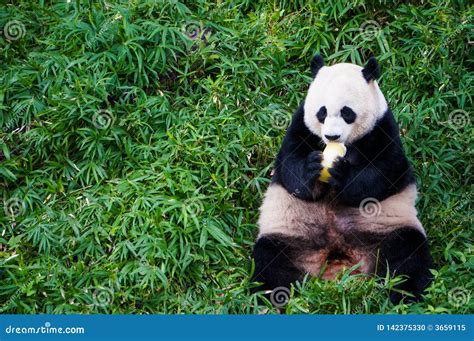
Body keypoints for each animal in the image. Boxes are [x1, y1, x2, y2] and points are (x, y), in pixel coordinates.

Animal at [252, 55, 434, 302]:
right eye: (322, 112)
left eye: (347, 112)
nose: (331, 136)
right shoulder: (301, 124)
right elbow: (290, 165)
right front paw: (312, 167)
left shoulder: (382, 127)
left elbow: (385, 171)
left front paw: (343, 173)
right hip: (291, 235)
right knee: (270, 261)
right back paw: (273, 298)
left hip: (384, 229)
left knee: (406, 255)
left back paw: (406, 294)